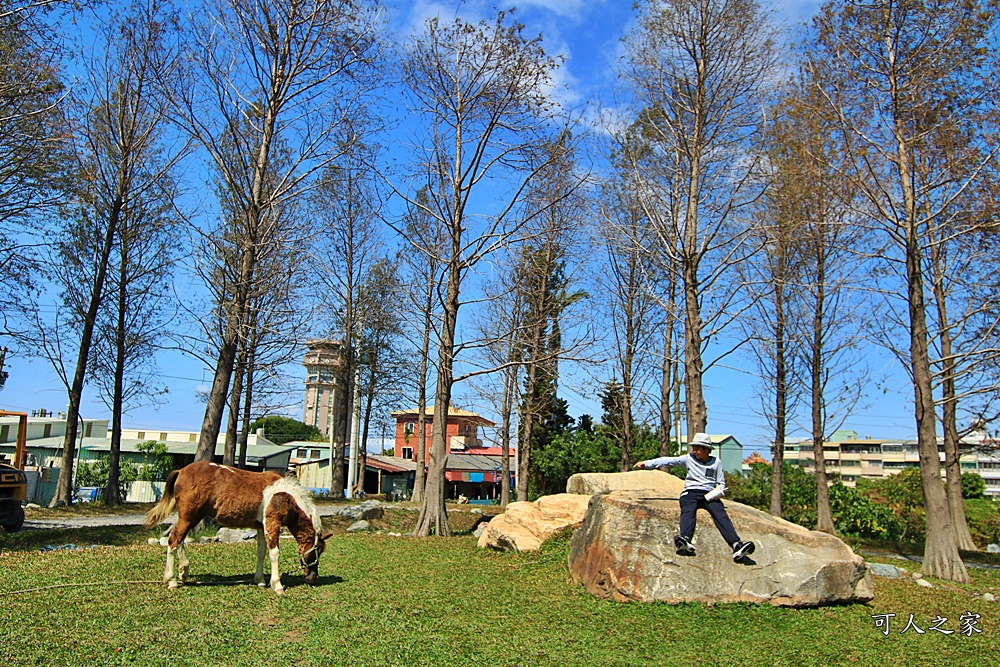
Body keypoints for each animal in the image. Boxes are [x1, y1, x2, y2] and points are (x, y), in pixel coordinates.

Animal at [144, 462, 332, 596]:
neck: (286, 496)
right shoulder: (272, 523)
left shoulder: (261, 526)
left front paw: (260, 580)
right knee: (173, 541)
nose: (313, 578)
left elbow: (261, 552)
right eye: (317, 550)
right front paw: (277, 585)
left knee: (180, 540)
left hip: (191, 517)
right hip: (188, 517)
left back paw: (183, 572)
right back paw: (171, 581)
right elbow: (274, 553)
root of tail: (181, 471)